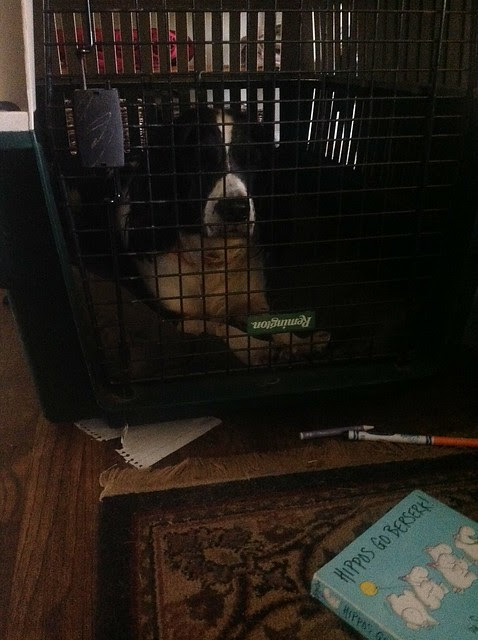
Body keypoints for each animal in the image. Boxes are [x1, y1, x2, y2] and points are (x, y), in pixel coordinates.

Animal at [118, 106, 330, 366]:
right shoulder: (175, 318)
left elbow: (268, 320)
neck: (213, 258)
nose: (236, 209)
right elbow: (219, 327)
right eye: (198, 160)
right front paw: (256, 348)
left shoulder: (251, 298)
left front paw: (299, 342)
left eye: (252, 159)